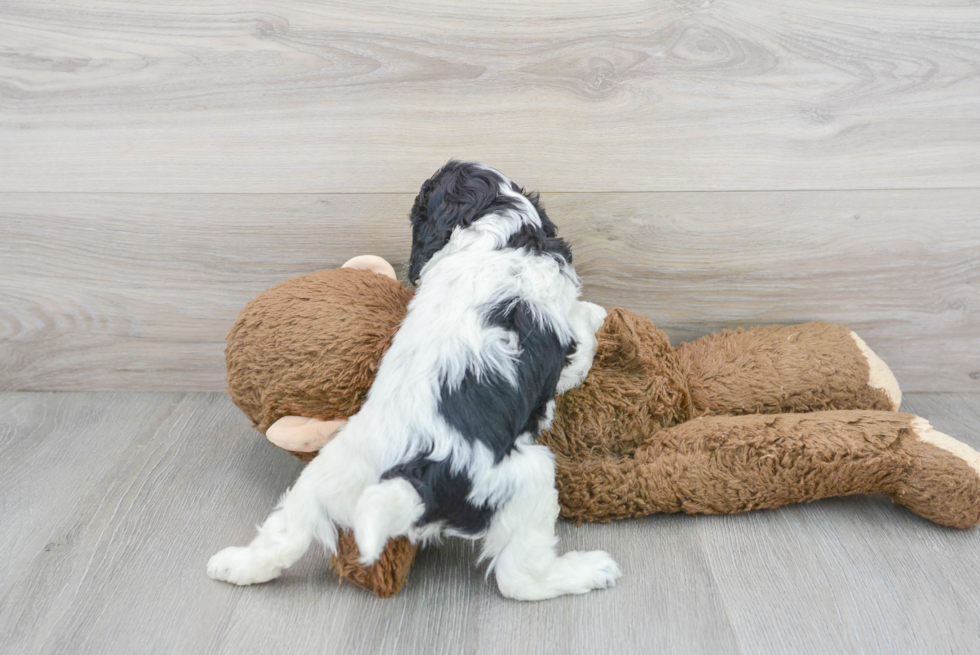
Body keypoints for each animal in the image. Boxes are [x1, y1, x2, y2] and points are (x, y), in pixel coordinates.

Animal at [208, 161, 620, 604]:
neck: (490, 235)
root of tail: (413, 477)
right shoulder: (562, 333)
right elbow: (583, 339)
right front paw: (597, 316)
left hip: (323, 478)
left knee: (285, 535)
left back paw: (231, 565)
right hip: (526, 478)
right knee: (519, 577)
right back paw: (590, 570)